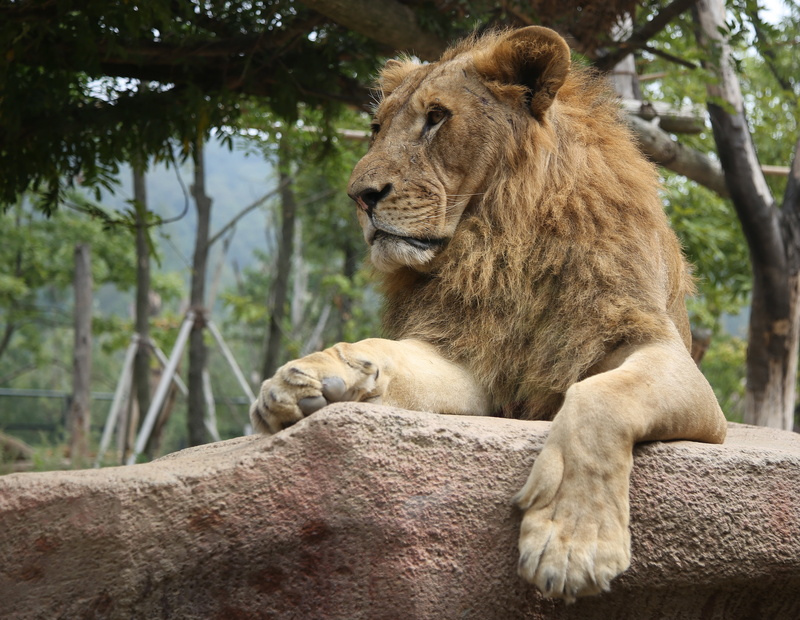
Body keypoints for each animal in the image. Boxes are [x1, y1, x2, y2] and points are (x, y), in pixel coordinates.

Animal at [250, 26, 727, 601]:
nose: (360, 196)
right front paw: (309, 378)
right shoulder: (470, 357)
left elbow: (599, 398)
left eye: (436, 117)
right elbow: (386, 352)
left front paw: (573, 544)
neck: (500, 238)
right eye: (375, 127)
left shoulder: (665, 356)